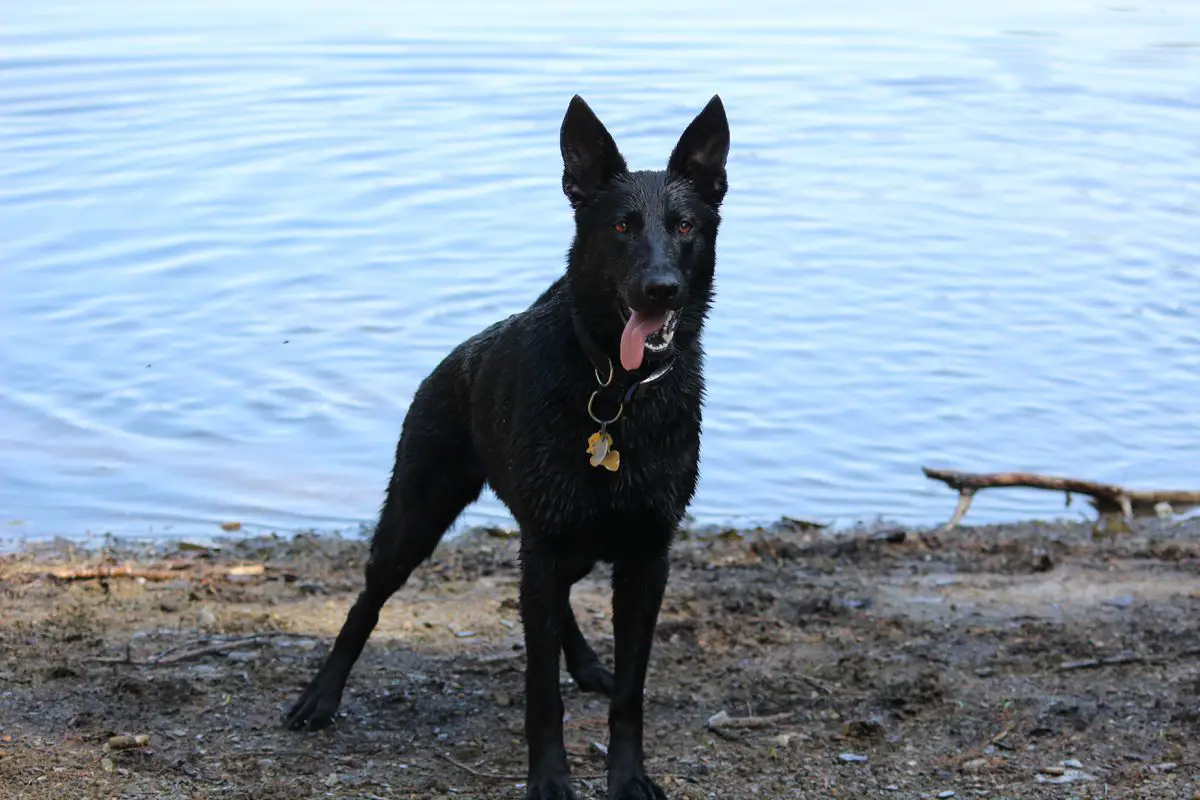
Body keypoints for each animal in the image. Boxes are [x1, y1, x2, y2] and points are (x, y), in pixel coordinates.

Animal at [285, 95, 724, 800]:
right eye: (622, 227)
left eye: (684, 225)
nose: (660, 289)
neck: (615, 390)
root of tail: (453, 361)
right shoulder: (545, 544)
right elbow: (541, 690)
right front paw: (548, 779)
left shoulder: (646, 556)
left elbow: (629, 694)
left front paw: (628, 775)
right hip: (415, 518)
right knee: (366, 602)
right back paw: (320, 697)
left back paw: (588, 663)